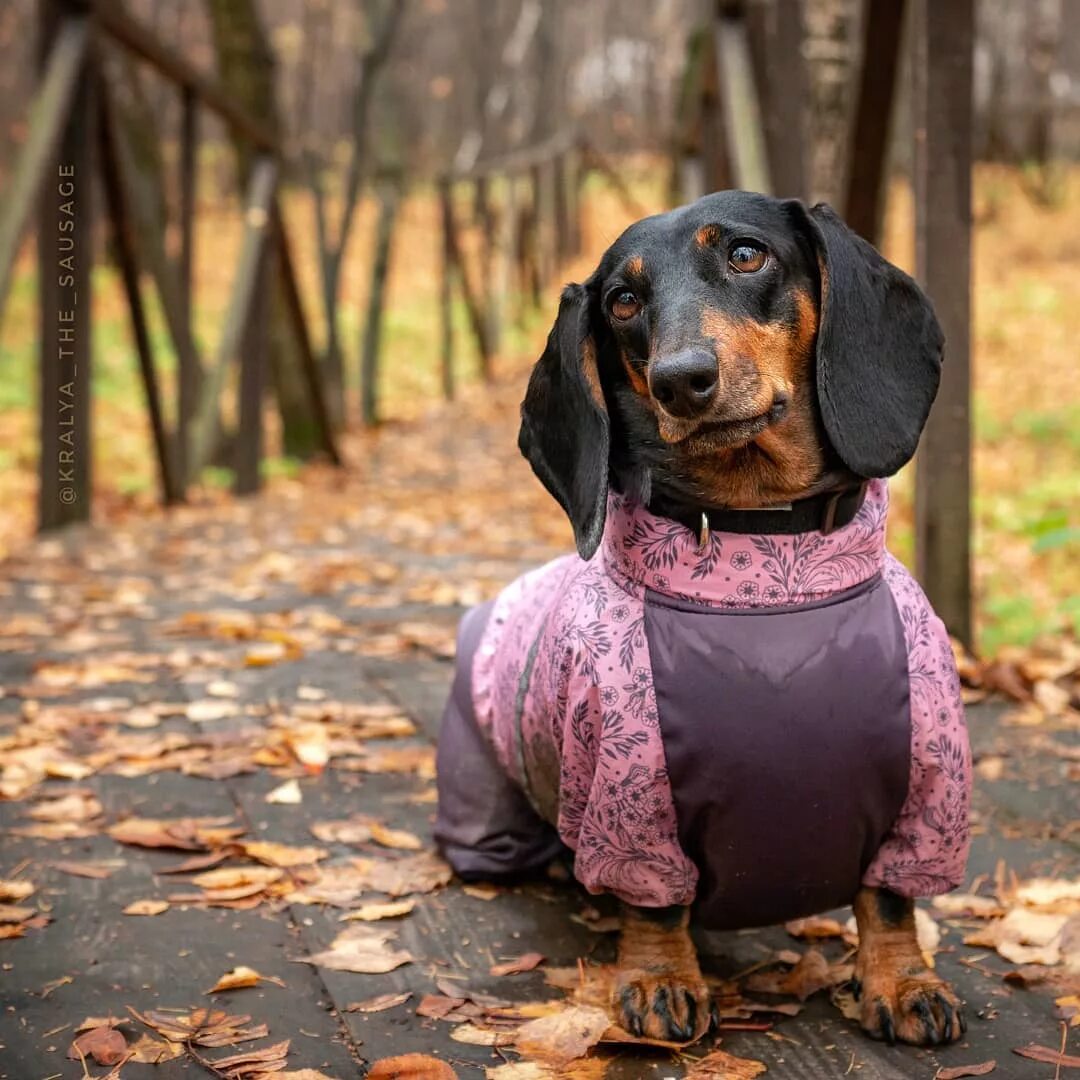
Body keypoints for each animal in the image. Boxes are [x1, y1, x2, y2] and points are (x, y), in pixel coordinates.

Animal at [434, 192, 976, 1045]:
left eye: (746, 255)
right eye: (623, 301)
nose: (681, 380)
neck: (770, 575)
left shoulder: (929, 792)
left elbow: (890, 898)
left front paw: (904, 983)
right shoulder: (633, 802)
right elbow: (655, 903)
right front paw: (660, 978)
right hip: (486, 814)